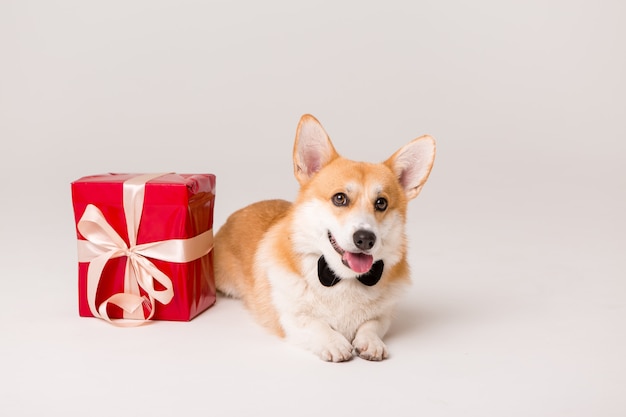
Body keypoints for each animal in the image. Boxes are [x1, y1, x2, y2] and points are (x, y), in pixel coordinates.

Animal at [213, 114, 434, 360]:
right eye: (339, 198)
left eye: (381, 203)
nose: (365, 238)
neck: (343, 278)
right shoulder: (290, 318)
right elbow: (315, 324)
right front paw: (334, 342)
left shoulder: (384, 315)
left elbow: (371, 324)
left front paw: (370, 342)